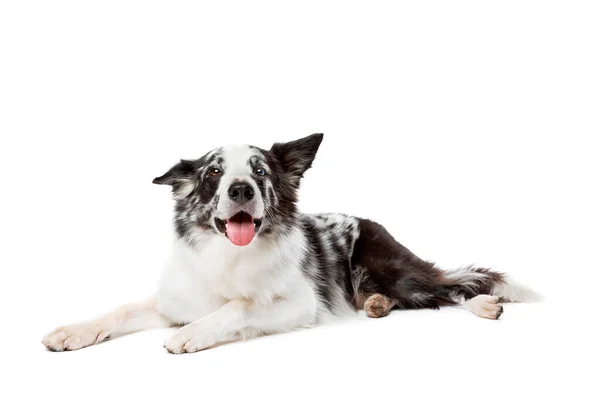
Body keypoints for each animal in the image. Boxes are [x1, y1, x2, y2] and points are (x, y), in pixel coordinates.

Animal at [42, 134, 540, 354]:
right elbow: (121, 310)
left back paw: (485, 304)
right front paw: (74, 331)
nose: (241, 188)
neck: (229, 256)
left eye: (260, 171)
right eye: (214, 172)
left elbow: (238, 305)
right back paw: (377, 304)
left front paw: (193, 333)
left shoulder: (300, 304)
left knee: (448, 287)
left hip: (391, 268)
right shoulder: (177, 298)